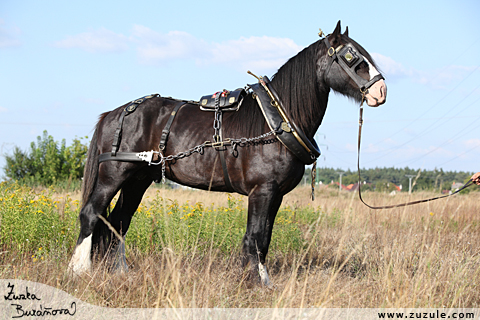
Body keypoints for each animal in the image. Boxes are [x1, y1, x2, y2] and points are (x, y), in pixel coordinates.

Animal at [67, 21, 386, 284]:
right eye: (352, 57)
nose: (381, 91)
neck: (277, 121)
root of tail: (114, 113)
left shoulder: (276, 194)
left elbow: (264, 238)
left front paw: (253, 278)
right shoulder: (262, 191)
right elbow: (255, 237)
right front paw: (258, 282)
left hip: (138, 179)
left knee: (119, 221)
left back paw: (120, 272)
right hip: (113, 174)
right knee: (92, 213)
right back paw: (79, 270)